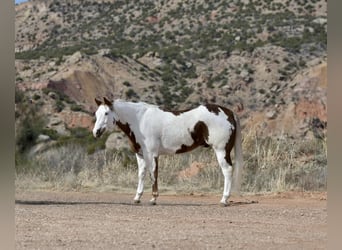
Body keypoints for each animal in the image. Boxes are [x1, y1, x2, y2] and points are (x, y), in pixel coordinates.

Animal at [93, 96, 243, 206]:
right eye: (96, 114)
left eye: (106, 113)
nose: (96, 132)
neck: (139, 120)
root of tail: (229, 112)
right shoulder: (140, 155)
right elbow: (141, 175)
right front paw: (137, 198)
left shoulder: (152, 154)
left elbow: (153, 174)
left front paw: (153, 199)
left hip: (221, 150)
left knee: (227, 171)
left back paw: (224, 200)